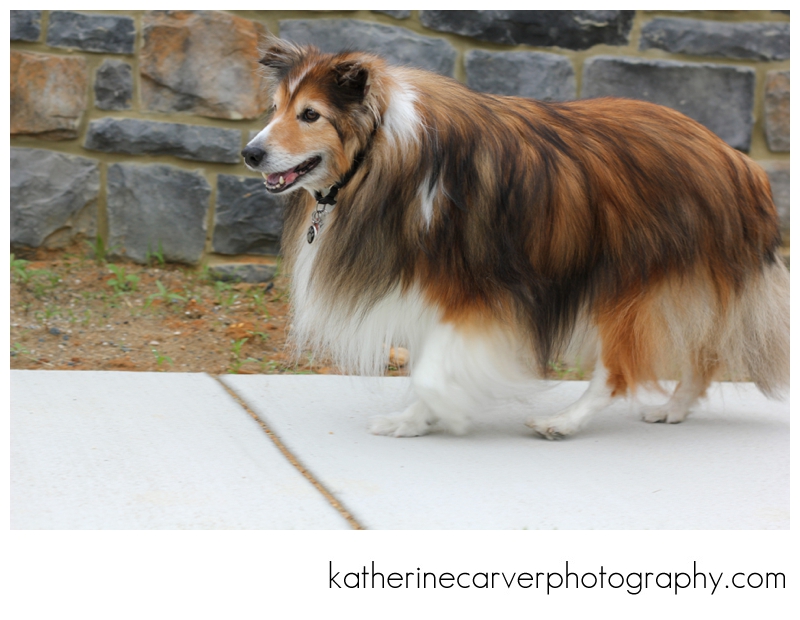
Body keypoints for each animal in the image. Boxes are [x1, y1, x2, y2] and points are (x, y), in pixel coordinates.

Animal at [242, 37, 789, 439]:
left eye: (310, 114)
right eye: (275, 107)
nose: (249, 153)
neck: (380, 154)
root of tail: (739, 163)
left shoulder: (479, 292)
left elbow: (433, 370)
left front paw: (447, 410)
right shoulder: (430, 291)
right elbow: (425, 365)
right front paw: (413, 421)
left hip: (627, 282)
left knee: (617, 371)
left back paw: (562, 422)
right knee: (703, 354)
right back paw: (673, 408)